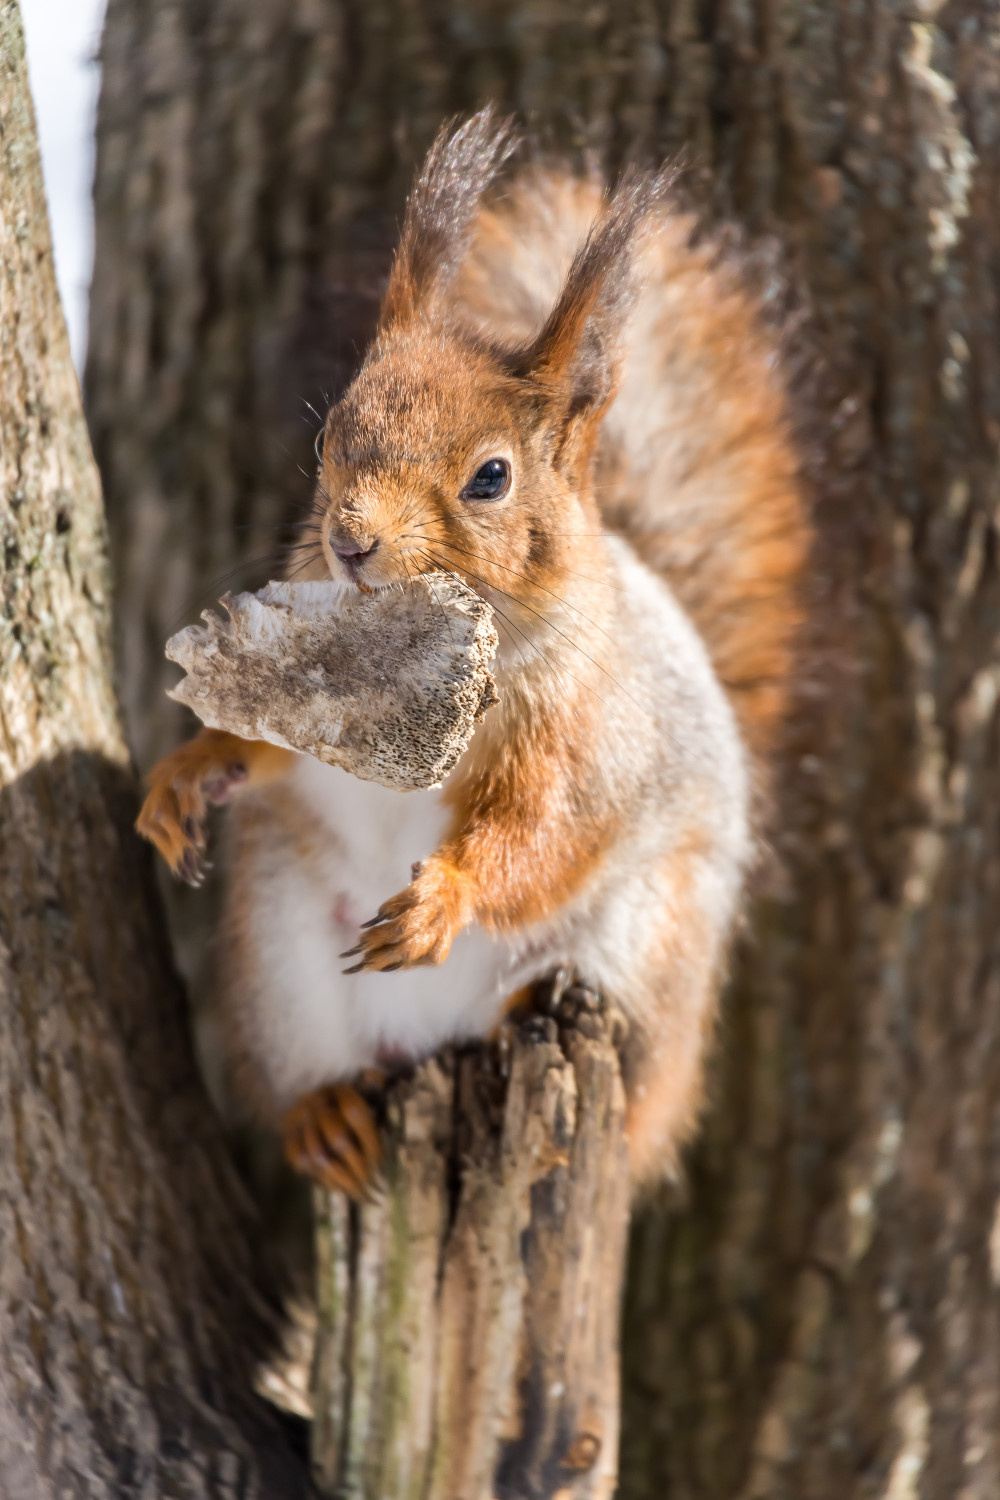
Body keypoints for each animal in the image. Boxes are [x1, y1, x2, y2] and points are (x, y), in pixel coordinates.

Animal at [137, 111, 809, 1198]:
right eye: (329, 440)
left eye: (491, 477)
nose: (350, 543)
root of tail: (429, 1044)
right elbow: (271, 747)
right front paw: (190, 772)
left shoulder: (585, 734)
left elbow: (544, 834)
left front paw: (444, 896)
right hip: (278, 962)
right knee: (305, 1073)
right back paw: (326, 1117)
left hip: (649, 953)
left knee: (624, 1087)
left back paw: (529, 1020)